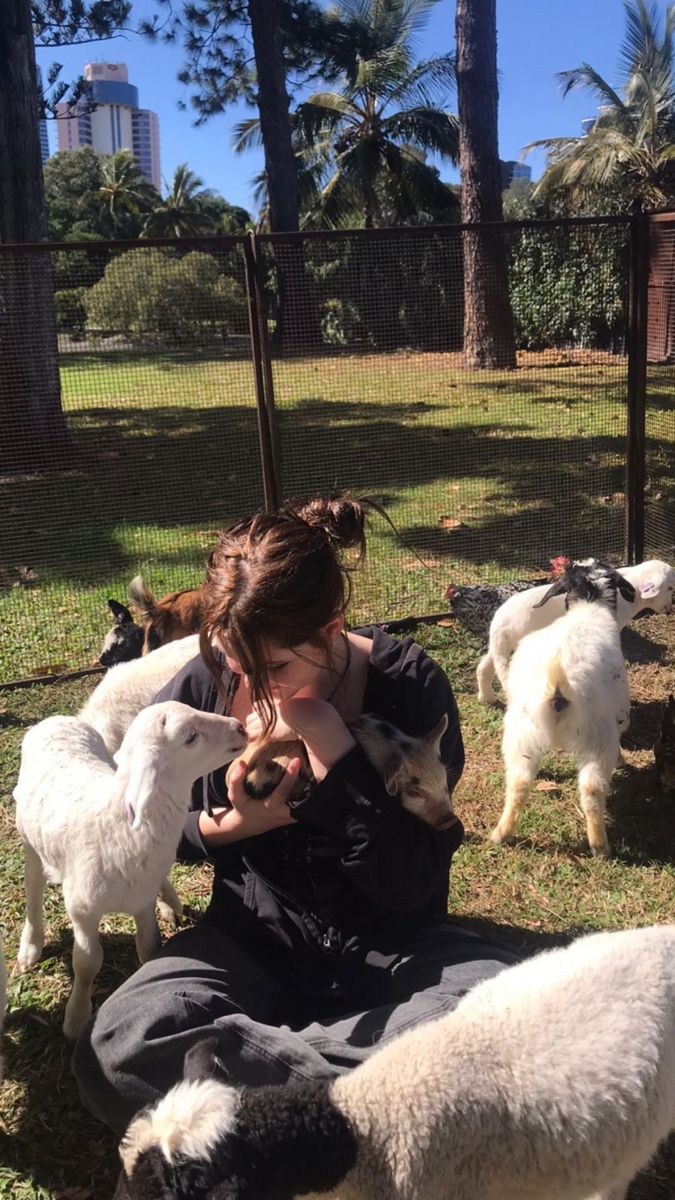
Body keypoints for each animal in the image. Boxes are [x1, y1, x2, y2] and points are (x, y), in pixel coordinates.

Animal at [13, 700, 243, 1041]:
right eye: (190, 736)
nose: (240, 727)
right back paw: (31, 945)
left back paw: (170, 898)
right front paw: (76, 1018)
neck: (117, 825)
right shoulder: (82, 910)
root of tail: (56, 720)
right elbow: (87, 963)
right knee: (33, 891)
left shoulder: (142, 900)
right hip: (30, 844)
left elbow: (150, 947)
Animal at [475, 559, 667, 705]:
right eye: (670, 588)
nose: (669, 608)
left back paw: (487, 698)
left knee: (484, 667)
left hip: (500, 647)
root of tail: (500, 623)